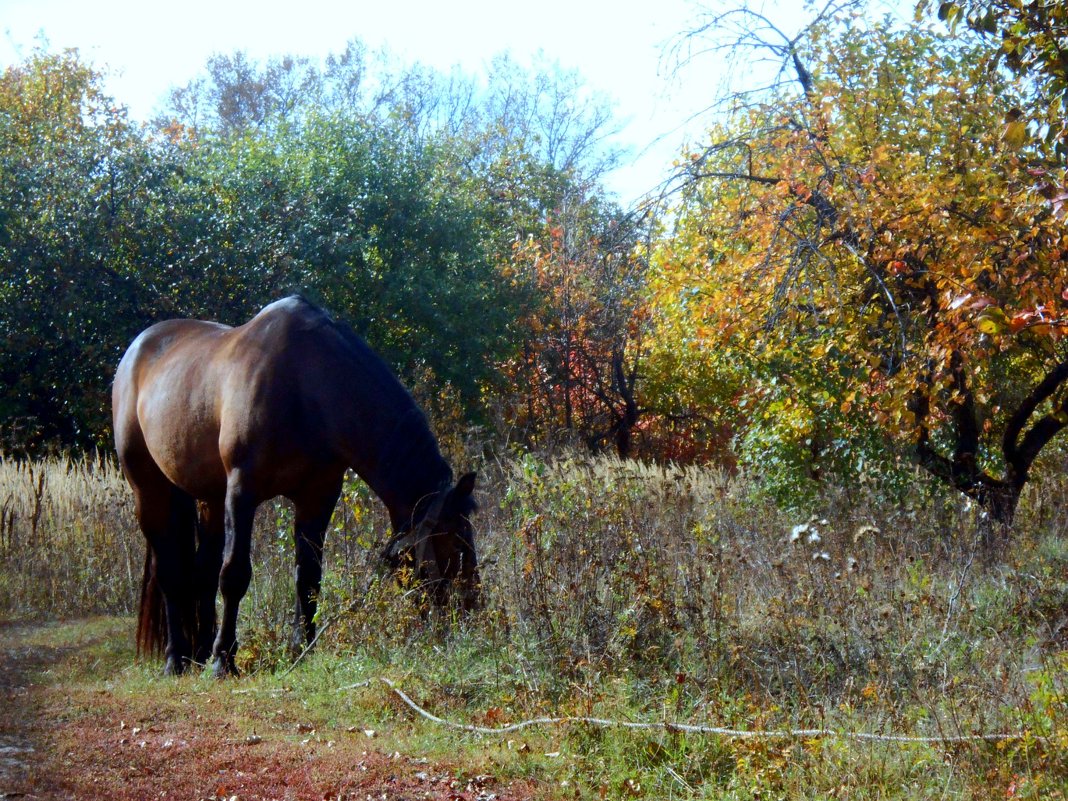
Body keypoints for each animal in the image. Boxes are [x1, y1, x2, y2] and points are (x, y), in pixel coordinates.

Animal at [112, 294, 480, 679]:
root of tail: (137, 348)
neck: (305, 387)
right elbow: (235, 574)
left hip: (210, 498)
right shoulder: (242, 492)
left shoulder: (317, 497)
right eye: (454, 542)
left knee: (202, 572)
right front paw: (224, 660)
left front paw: (301, 649)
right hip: (150, 490)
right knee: (171, 572)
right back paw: (177, 658)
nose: (471, 611)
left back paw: (199, 650)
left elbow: (309, 577)